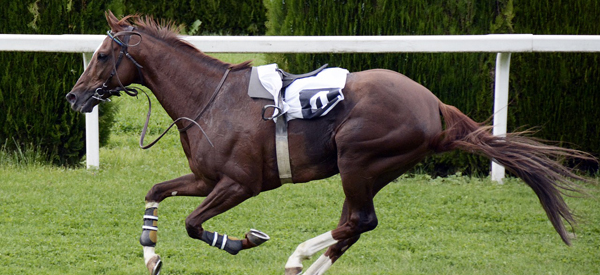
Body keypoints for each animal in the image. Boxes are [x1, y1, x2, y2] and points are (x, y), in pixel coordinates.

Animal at [67, 11, 596, 275]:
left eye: (103, 54)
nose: (74, 96)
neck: (209, 99)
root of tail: (435, 107)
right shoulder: (204, 176)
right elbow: (155, 192)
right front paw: (151, 254)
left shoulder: (240, 183)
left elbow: (196, 225)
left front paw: (243, 240)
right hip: (370, 169)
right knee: (354, 226)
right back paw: (306, 264)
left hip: (359, 159)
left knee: (358, 221)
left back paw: (296, 257)